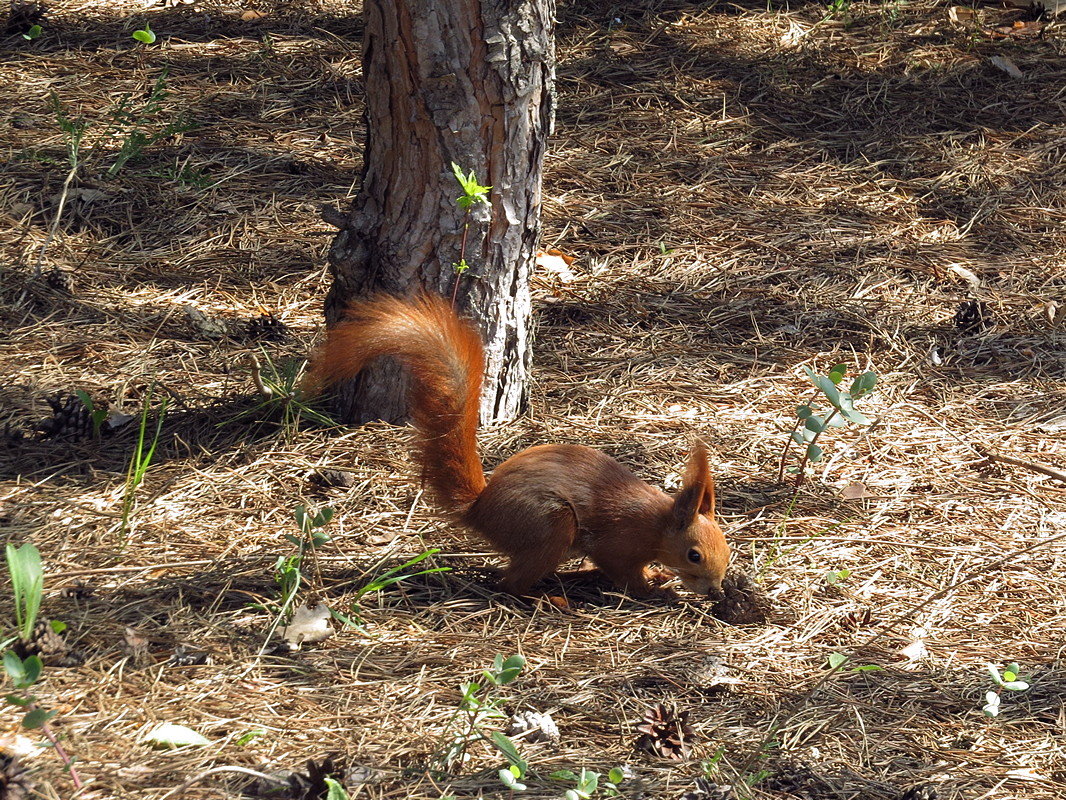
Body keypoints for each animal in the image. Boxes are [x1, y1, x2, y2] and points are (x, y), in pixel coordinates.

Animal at [304, 298, 729, 597]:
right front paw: (656, 589)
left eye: (726, 548)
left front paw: (658, 575)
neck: (656, 524)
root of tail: (481, 511)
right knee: (510, 584)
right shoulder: (618, 543)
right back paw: (551, 599)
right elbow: (625, 575)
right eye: (693, 555)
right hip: (549, 525)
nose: (715, 590)